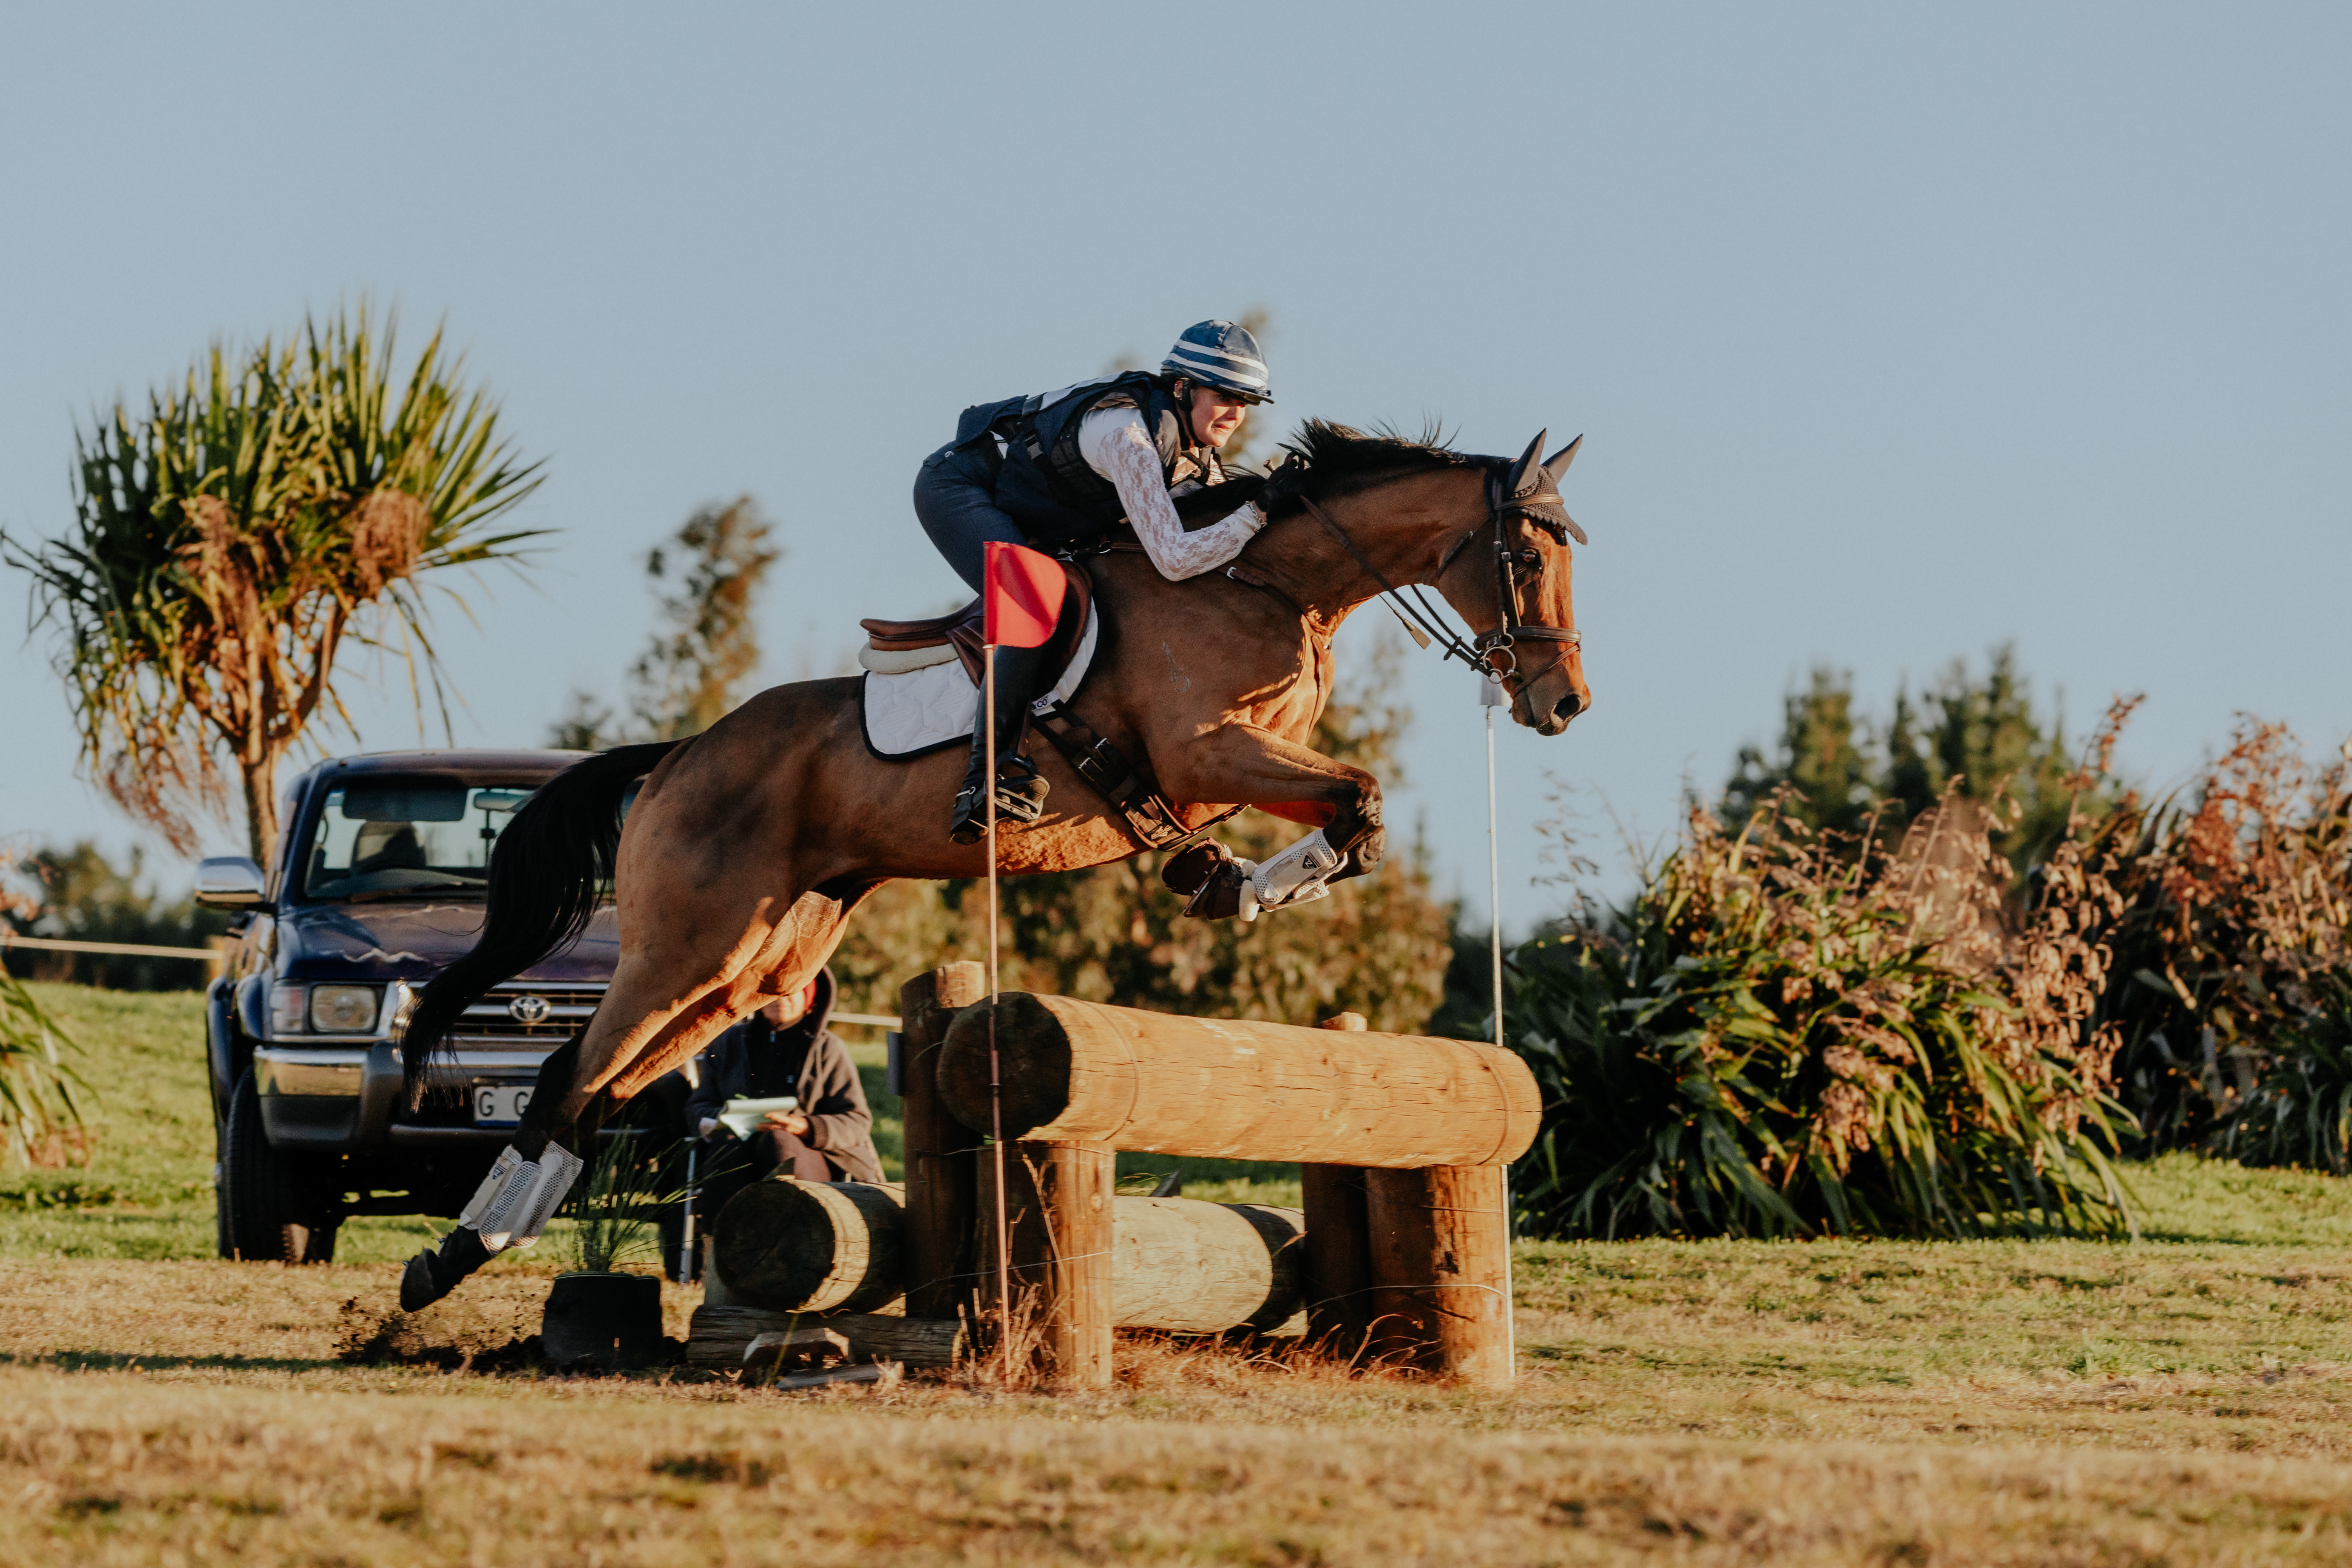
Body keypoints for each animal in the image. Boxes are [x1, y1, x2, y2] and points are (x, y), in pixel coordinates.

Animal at [395, 420, 1592, 1309]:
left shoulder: (1240, 766)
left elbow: (1353, 813)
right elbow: (1358, 797)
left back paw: (467, 1254)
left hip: (754, 964)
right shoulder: (1207, 751)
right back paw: (443, 1266)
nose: (1564, 704)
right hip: (687, 944)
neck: (1267, 584)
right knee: (571, 1078)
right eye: (1529, 556)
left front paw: (1232, 882)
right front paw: (1243, 882)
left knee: (605, 1090)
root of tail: (681, 753)